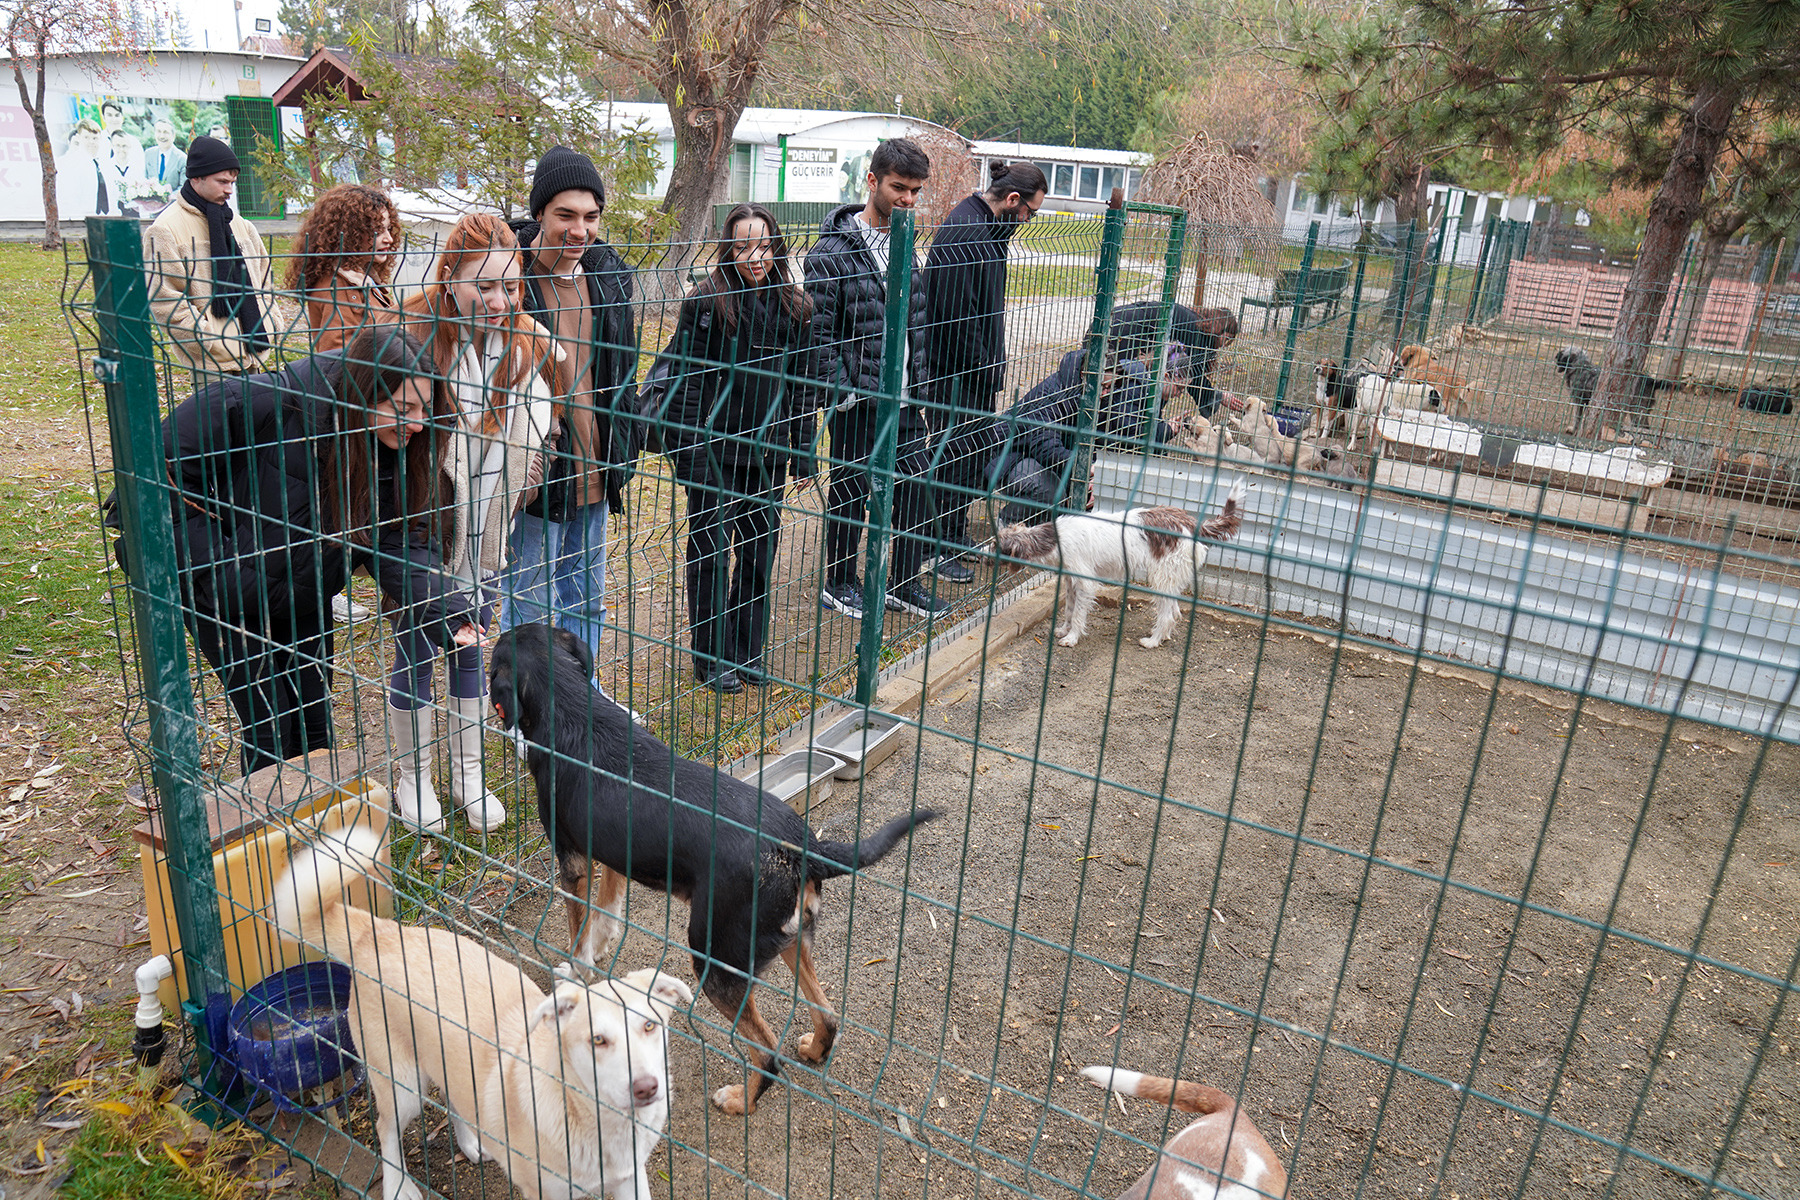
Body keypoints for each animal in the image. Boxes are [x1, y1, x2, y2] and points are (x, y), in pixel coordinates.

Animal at [268, 831, 694, 1200]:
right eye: (598, 1040)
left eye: (649, 1026)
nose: (647, 1087)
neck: (601, 1123)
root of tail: (381, 933)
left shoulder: (631, 1179)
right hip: (403, 1085)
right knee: (386, 1128)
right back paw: (399, 1187)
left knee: (455, 1099)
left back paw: (472, 1143)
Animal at [493, 626, 943, 1122]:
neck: (573, 708)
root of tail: (801, 846)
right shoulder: (612, 852)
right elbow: (604, 915)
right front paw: (599, 950)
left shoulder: (573, 861)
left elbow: (577, 936)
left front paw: (574, 978)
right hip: (789, 940)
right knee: (827, 1015)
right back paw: (814, 1050)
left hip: (715, 962)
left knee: (768, 1054)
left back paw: (739, 1100)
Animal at [993, 474, 1245, 647]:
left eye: (999, 546)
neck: (1054, 538)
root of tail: (1191, 523)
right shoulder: (1071, 582)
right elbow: (1069, 611)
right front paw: (1064, 630)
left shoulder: (1085, 583)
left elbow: (1078, 614)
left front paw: (1072, 637)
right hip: (1170, 578)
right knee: (1174, 612)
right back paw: (1163, 637)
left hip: (1161, 578)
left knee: (1166, 615)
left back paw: (1153, 641)